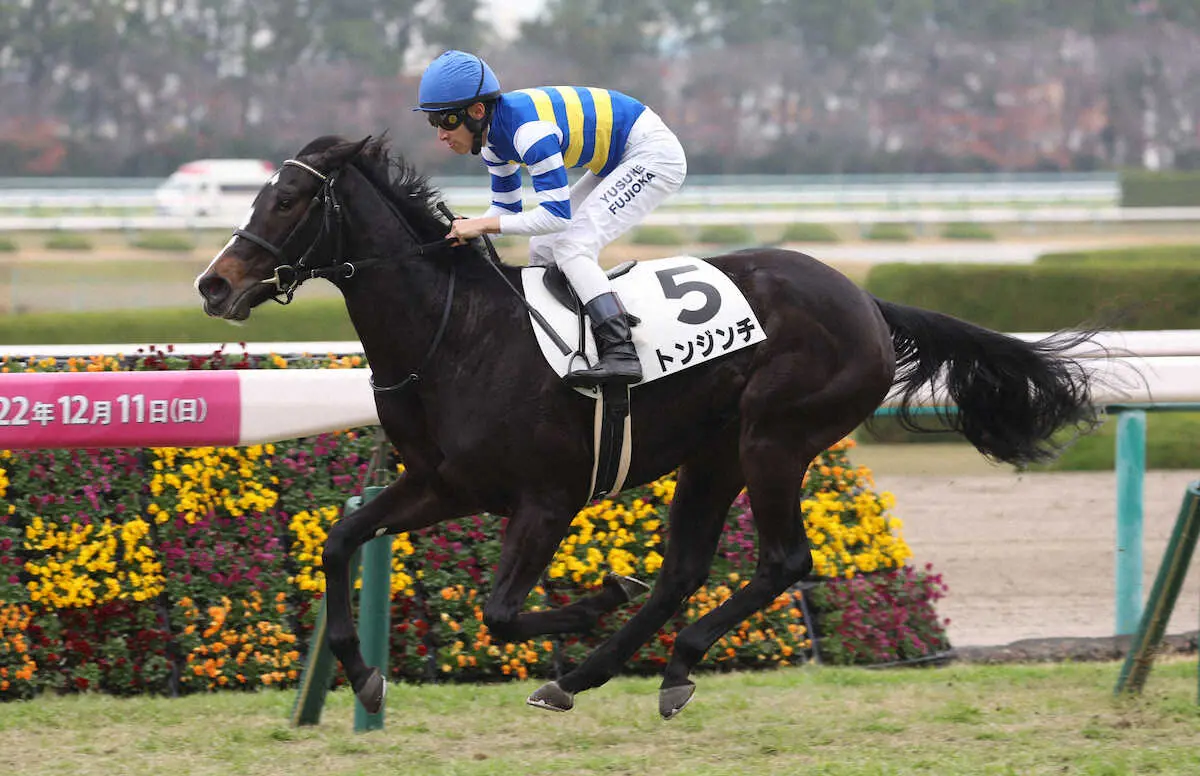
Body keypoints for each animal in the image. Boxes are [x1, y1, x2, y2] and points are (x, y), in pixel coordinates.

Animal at [196, 135, 1100, 719]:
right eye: (257, 194)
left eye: (290, 199)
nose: (214, 284)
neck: (454, 336)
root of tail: (865, 300)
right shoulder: (443, 484)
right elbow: (341, 540)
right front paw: (362, 674)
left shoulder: (547, 499)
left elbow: (500, 610)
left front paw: (596, 594)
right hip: (714, 454)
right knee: (684, 569)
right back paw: (597, 675)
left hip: (774, 439)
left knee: (782, 561)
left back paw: (660, 659)